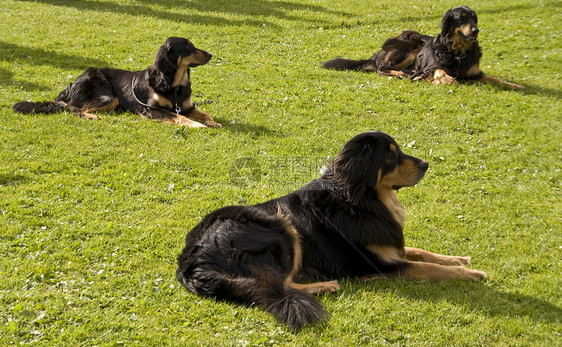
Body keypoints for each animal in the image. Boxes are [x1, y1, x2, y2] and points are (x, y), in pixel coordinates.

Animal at [12, 36, 220, 128]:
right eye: (188, 46)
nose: (210, 54)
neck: (174, 85)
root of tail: (70, 86)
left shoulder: (186, 106)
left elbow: (204, 113)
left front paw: (212, 122)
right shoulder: (151, 110)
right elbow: (180, 117)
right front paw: (197, 125)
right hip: (109, 97)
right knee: (71, 107)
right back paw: (90, 116)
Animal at [176, 132, 486, 330]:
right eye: (391, 156)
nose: (425, 164)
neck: (362, 200)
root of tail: (190, 261)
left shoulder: (387, 247)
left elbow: (421, 252)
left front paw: (459, 260)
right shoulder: (377, 263)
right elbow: (428, 268)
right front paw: (470, 274)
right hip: (283, 226)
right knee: (279, 286)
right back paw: (326, 285)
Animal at [322, 6, 524, 90]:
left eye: (474, 18)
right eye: (461, 18)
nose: (476, 30)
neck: (457, 53)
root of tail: (378, 52)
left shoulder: (474, 73)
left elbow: (495, 79)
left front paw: (516, 86)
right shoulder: (429, 68)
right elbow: (441, 72)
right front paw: (448, 80)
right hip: (410, 44)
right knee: (382, 68)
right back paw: (402, 74)